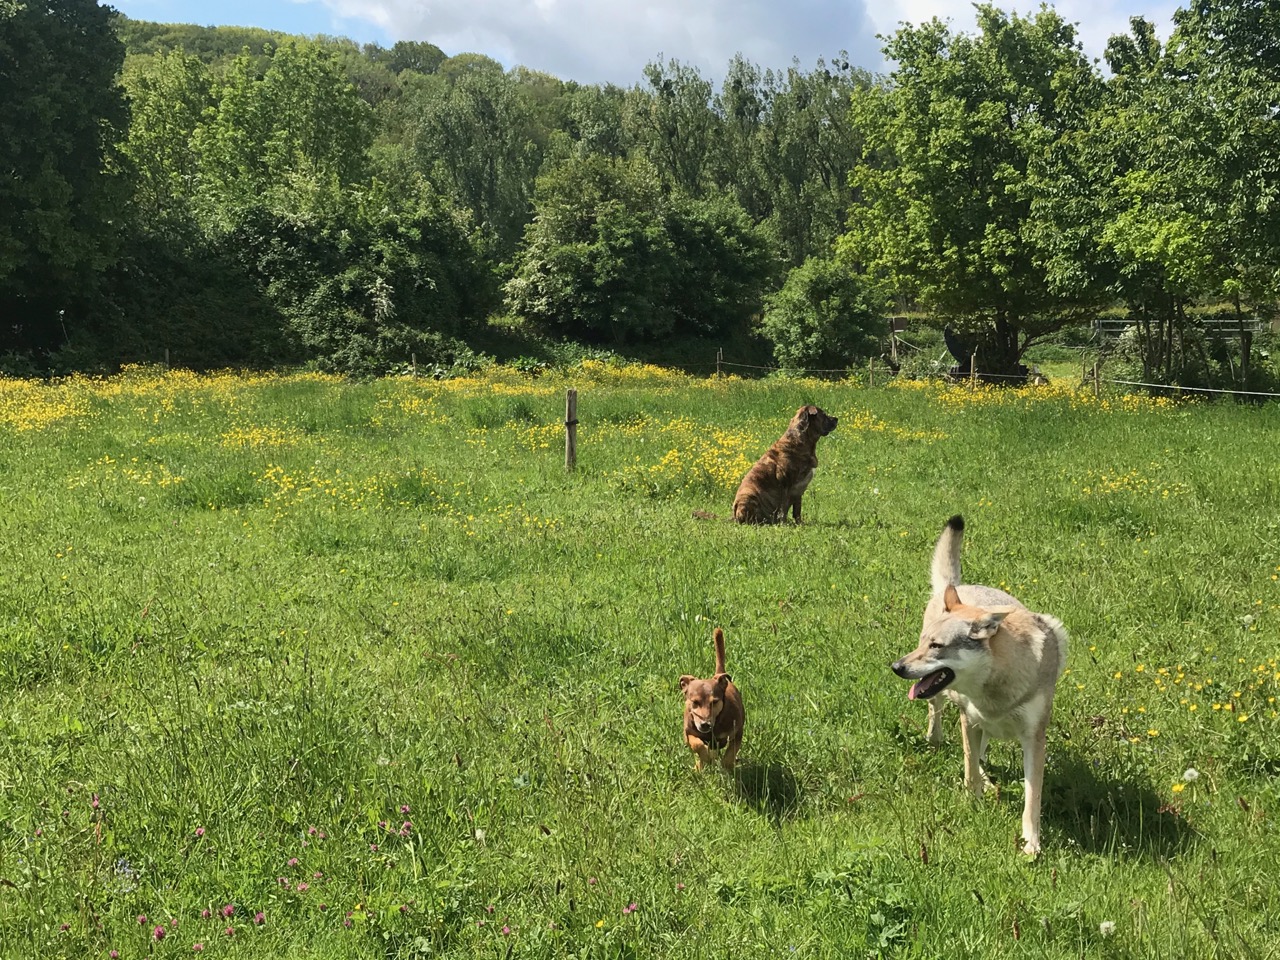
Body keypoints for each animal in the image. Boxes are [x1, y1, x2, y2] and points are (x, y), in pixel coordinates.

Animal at [675, 632, 747, 773]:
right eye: (695, 702)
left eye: (714, 702)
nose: (705, 724)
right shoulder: (688, 733)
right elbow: (697, 745)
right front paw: (708, 757)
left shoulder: (737, 731)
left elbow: (731, 751)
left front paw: (726, 764)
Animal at [890, 519, 1070, 855]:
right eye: (923, 643)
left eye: (936, 646)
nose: (896, 667)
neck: (997, 684)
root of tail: (956, 588)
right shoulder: (969, 719)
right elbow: (969, 768)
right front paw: (973, 803)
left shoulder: (1033, 738)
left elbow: (1032, 797)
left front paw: (1031, 844)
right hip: (948, 703)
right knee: (940, 719)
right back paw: (940, 744)